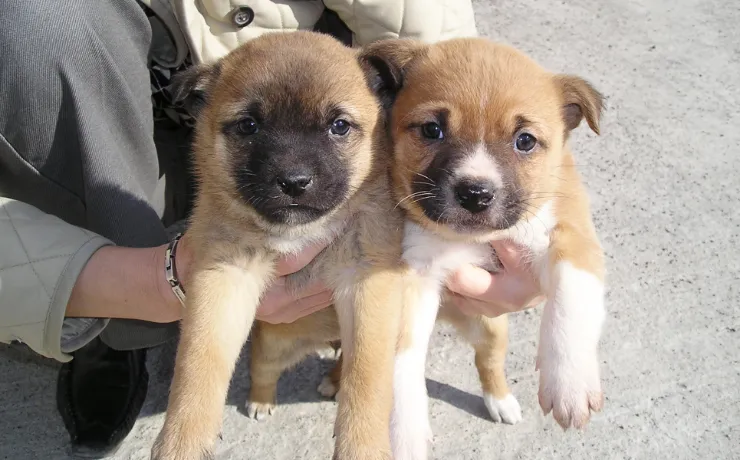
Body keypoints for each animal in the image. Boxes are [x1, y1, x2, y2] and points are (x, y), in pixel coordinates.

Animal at [150, 30, 404, 458]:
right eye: (249, 125)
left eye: (339, 126)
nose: (294, 181)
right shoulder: (224, 278)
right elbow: (198, 361)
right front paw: (182, 438)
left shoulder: (368, 286)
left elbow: (368, 377)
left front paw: (363, 443)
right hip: (270, 344)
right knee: (262, 371)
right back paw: (261, 400)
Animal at [356, 36, 608, 460]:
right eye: (432, 129)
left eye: (525, 141)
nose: (475, 194)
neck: (467, 240)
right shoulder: (409, 277)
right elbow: (400, 358)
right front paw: (403, 431)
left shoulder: (570, 234)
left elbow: (570, 297)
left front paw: (570, 382)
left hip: (492, 328)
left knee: (488, 362)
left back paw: (501, 402)